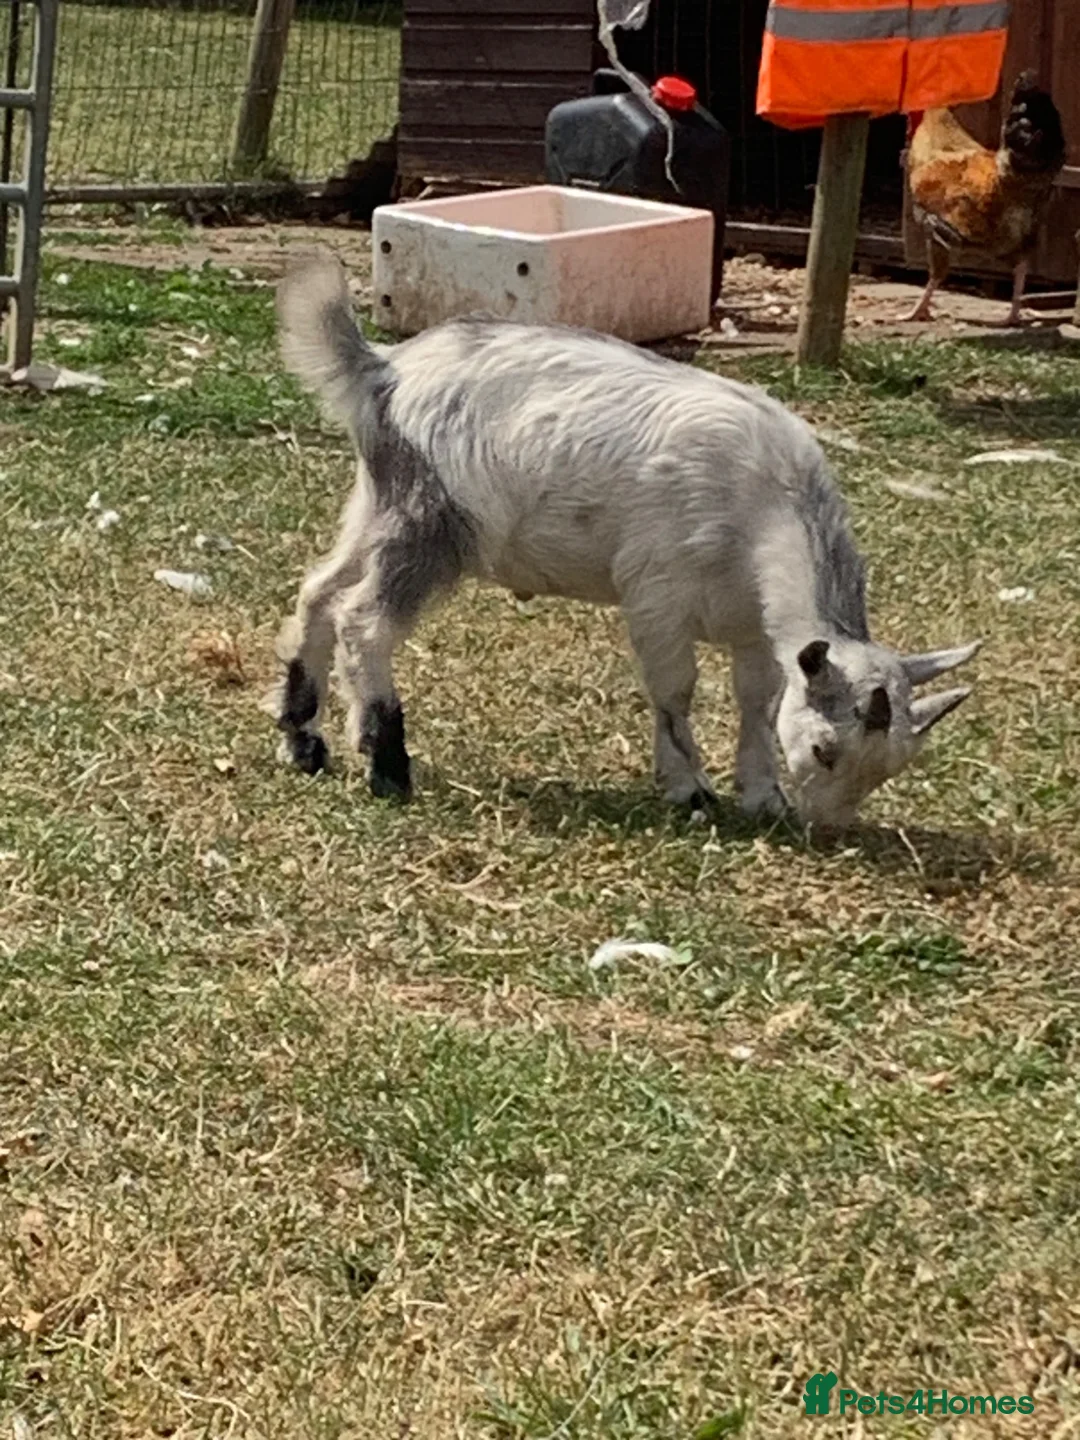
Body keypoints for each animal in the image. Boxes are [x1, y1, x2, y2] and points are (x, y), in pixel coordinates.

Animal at [274, 248, 978, 828]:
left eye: (890, 766)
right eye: (825, 749)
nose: (823, 827)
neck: (764, 504)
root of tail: (386, 370)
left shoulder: (751, 628)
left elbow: (757, 702)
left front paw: (761, 795)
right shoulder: (657, 596)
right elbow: (674, 690)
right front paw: (688, 789)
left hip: (378, 505)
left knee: (318, 592)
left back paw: (303, 741)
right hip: (435, 522)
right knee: (364, 619)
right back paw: (386, 764)